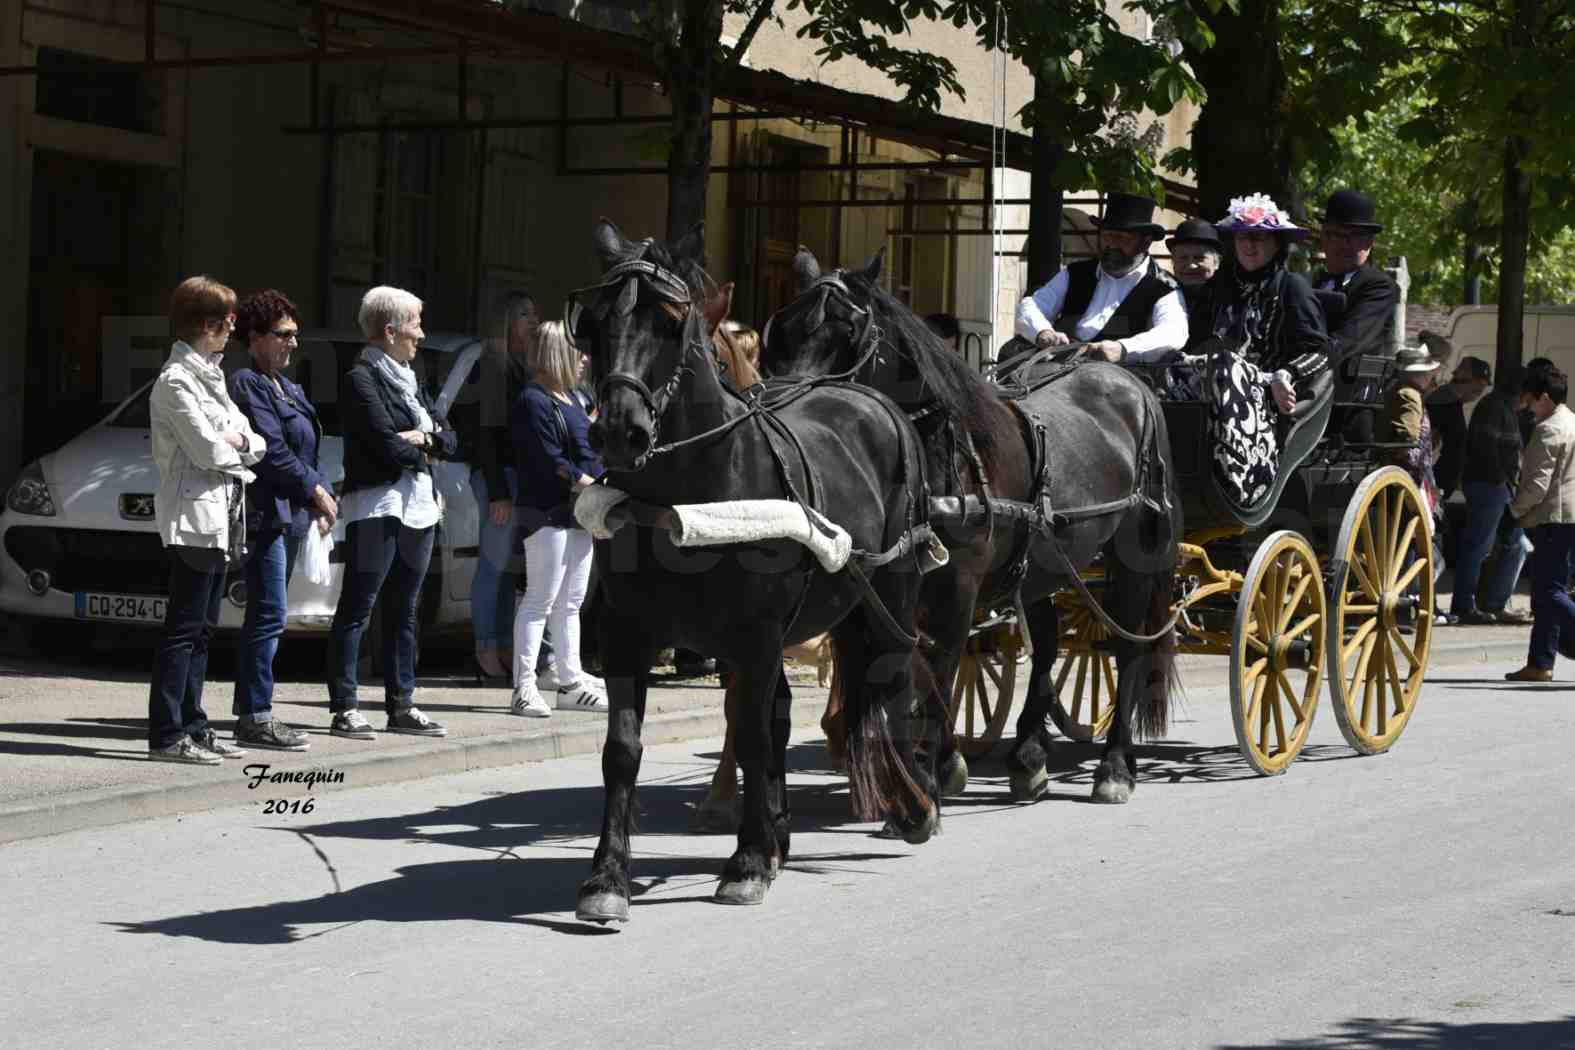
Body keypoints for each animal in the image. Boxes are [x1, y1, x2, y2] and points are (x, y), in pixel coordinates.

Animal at [573, 221, 938, 919]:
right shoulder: (628, 637)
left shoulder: (753, 639)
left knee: (893, 677)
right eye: (593, 321)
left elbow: (748, 737)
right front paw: (607, 877)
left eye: (670, 320)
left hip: (893, 591)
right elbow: (623, 750)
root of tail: (866, 395)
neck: (685, 496)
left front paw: (744, 862)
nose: (621, 433)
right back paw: (782, 833)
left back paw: (914, 804)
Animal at [762, 247, 1184, 805]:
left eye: (850, 330)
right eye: (783, 327)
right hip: (1045, 561)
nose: (783, 413)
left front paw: (932, 770)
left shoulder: (959, 584)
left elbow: (941, 665)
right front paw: (929, 766)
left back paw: (1114, 766)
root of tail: (1130, 384)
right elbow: (913, 667)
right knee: (1048, 645)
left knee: (1129, 647)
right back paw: (1028, 756)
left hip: (1136, 552)